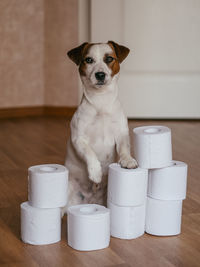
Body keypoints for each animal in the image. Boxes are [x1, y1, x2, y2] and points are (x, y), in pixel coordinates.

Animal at [63, 41, 138, 214]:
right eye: (89, 60)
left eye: (109, 59)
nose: (100, 75)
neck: (101, 102)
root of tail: (91, 201)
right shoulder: (79, 139)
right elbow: (90, 153)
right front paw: (96, 173)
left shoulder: (121, 134)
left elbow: (124, 148)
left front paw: (128, 160)